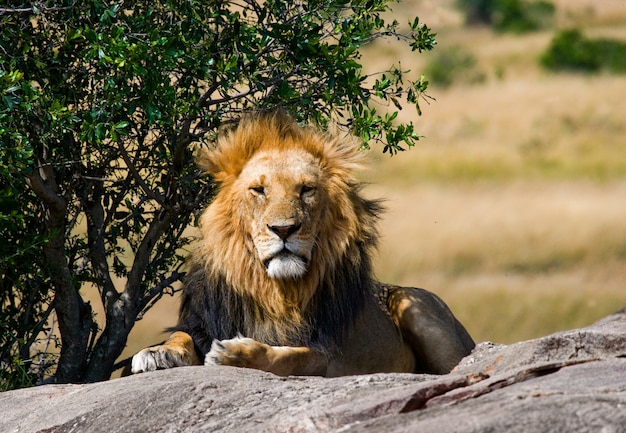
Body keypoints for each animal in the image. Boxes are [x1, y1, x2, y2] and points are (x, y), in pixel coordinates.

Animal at [132, 110, 472, 374]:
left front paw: (237, 354)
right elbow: (181, 336)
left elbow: (286, 358)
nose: (284, 229)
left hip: (411, 303)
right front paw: (156, 353)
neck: (274, 291)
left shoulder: (325, 354)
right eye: (259, 190)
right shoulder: (201, 322)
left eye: (306, 190)